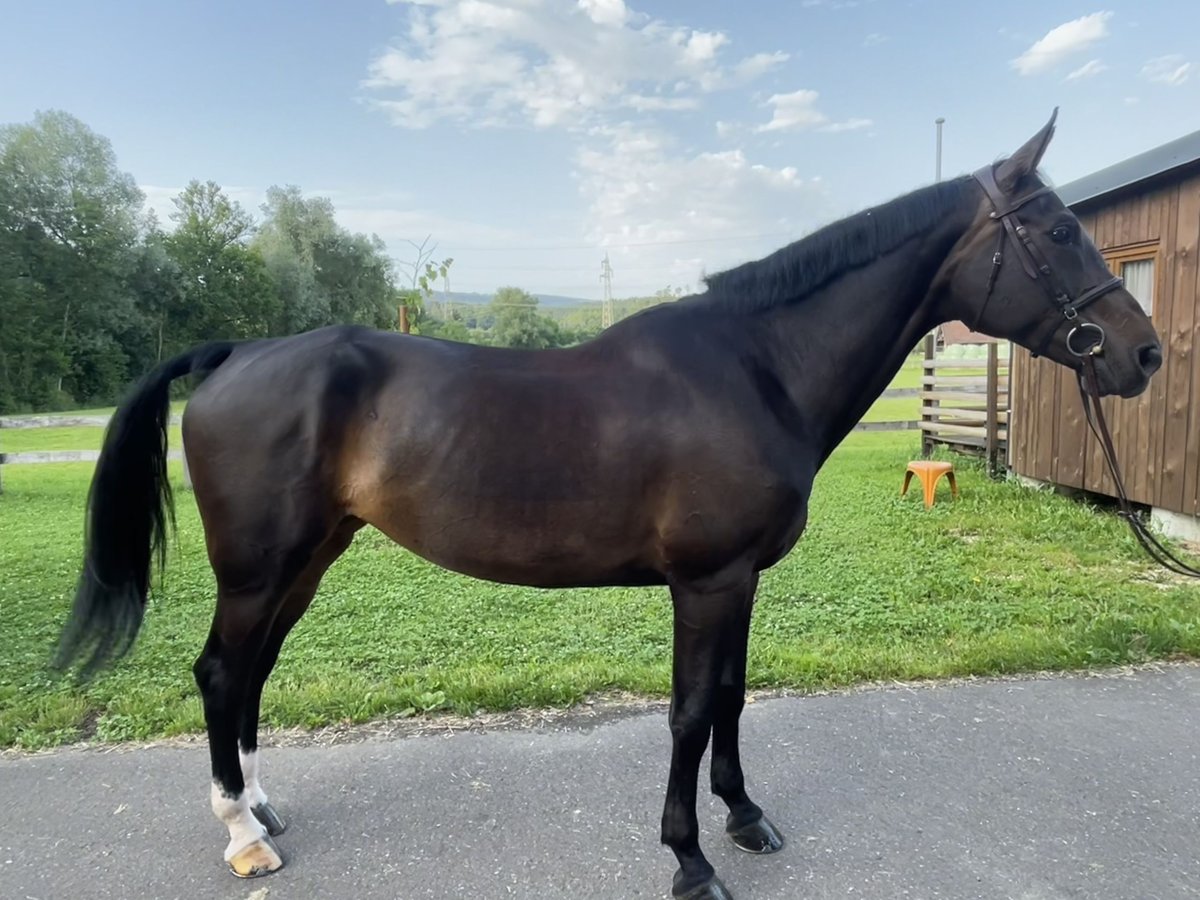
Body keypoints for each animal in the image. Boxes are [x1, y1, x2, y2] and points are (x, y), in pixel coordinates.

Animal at [56, 114, 1161, 900]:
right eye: (1057, 230)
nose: (1144, 353)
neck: (756, 367)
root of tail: (234, 354)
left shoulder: (740, 580)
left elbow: (732, 698)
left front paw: (745, 819)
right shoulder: (704, 581)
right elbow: (688, 711)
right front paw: (691, 861)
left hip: (310, 556)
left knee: (250, 674)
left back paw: (261, 808)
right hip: (259, 564)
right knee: (219, 671)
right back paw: (243, 836)